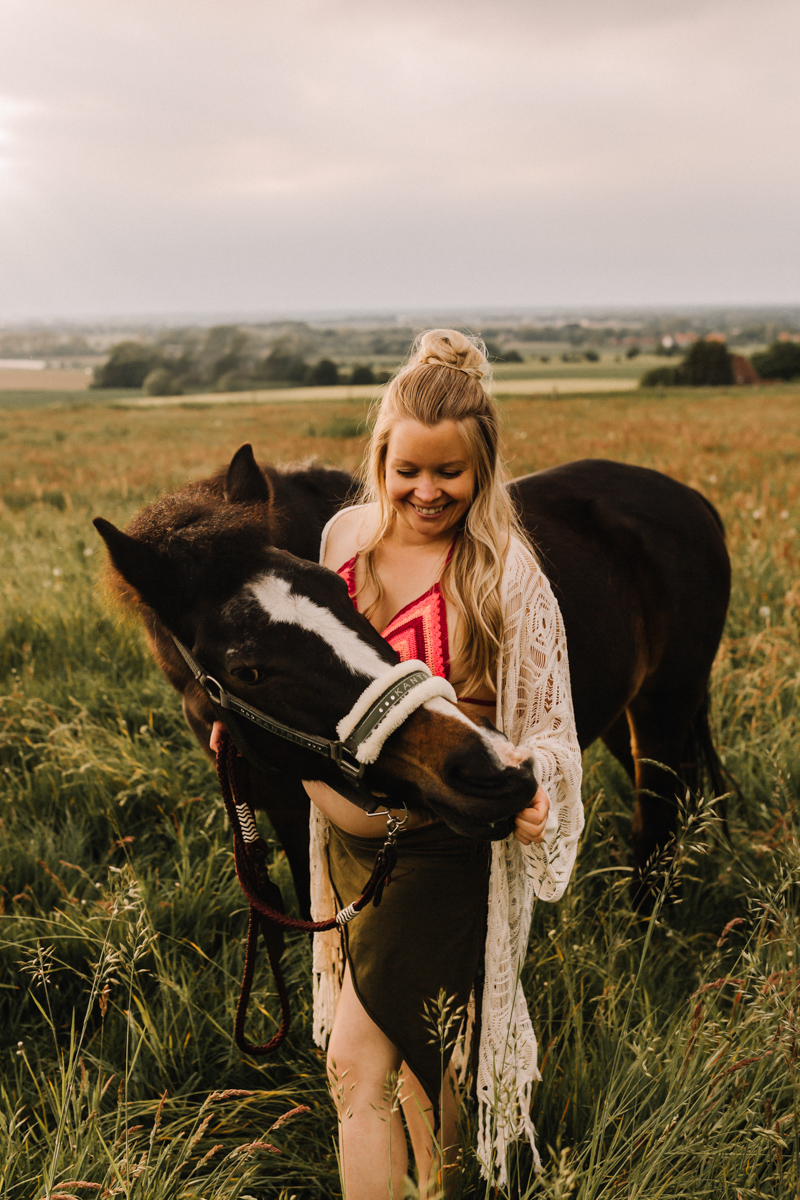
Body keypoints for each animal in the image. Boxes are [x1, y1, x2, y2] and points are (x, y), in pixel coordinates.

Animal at [94, 445, 730, 913]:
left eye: (337, 588)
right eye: (246, 669)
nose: (492, 770)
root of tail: (692, 499)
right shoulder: (280, 805)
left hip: (664, 708)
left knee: (657, 813)